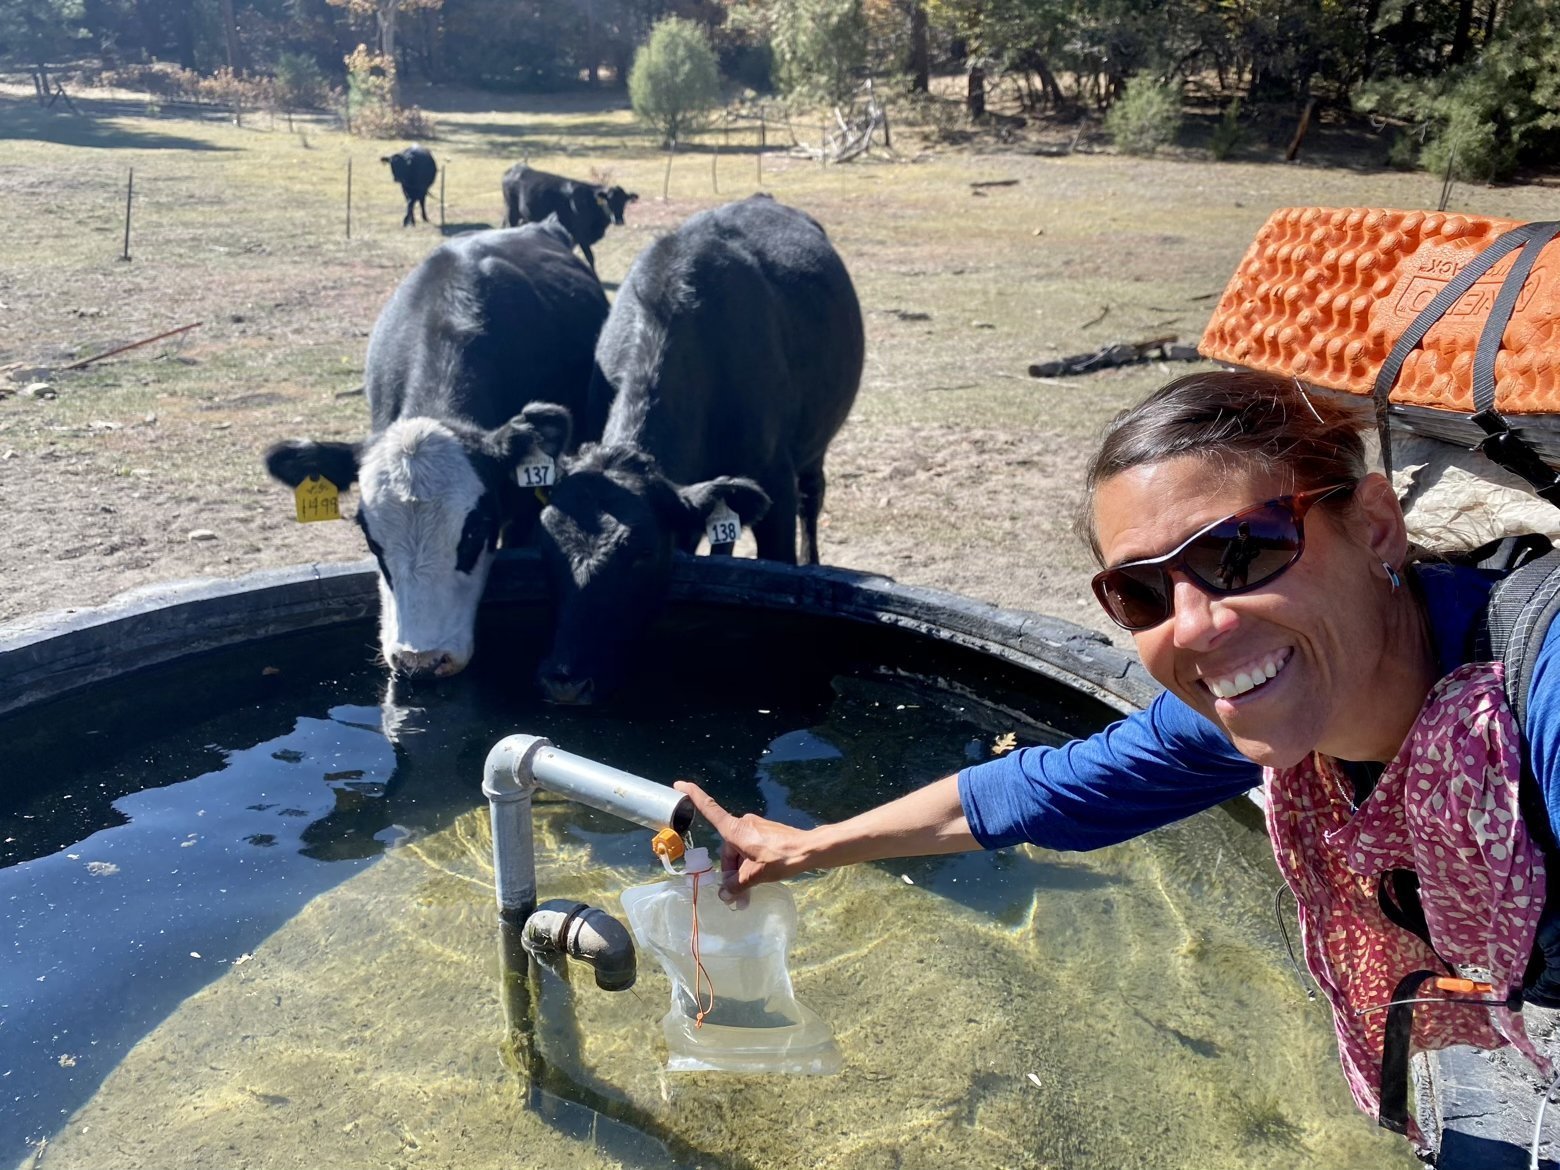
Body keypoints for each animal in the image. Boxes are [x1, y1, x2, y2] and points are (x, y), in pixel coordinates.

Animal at [505, 163, 639, 276]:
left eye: (624, 202)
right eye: (608, 201)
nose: (618, 220)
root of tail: (516, 167)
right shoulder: (580, 234)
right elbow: (590, 257)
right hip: (512, 211)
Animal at [536, 197, 867, 705]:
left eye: (642, 551)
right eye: (545, 544)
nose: (565, 680)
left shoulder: (774, 484)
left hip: (814, 448)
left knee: (812, 499)